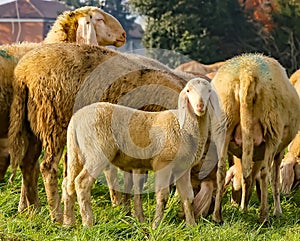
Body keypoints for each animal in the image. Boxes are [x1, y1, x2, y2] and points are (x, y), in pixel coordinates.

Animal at [8, 42, 204, 223]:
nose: (199, 214)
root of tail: (23, 71)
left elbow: (131, 183)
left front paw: (129, 213)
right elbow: (137, 183)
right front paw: (135, 215)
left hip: (31, 127)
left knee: (28, 165)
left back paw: (33, 210)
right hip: (53, 123)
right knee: (47, 167)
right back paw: (56, 215)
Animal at [211, 52, 300, 224]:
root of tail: (247, 73)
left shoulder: (252, 153)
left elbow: (248, 179)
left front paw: (243, 209)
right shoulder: (278, 151)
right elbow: (274, 180)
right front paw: (277, 211)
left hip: (223, 126)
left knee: (221, 170)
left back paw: (217, 216)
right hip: (271, 129)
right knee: (266, 173)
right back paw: (264, 216)